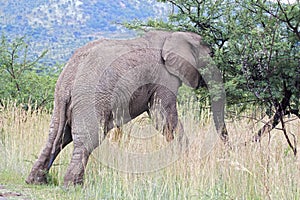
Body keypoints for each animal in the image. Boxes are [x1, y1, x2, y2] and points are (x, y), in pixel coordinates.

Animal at [26, 30, 227, 187]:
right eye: (211, 54)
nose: (227, 149)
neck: (175, 35)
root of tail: (70, 74)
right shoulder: (164, 77)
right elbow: (162, 117)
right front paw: (187, 159)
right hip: (91, 97)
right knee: (88, 138)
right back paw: (73, 185)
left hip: (61, 99)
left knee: (57, 136)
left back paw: (36, 181)